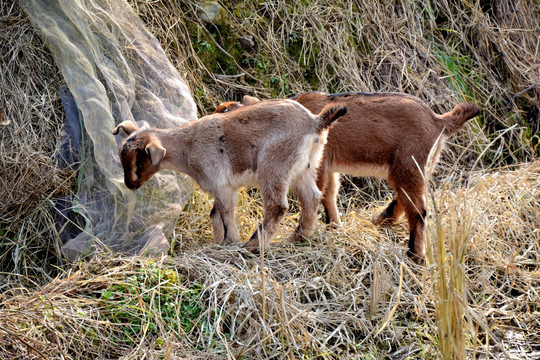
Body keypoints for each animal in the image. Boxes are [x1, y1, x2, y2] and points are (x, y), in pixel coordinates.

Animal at [112, 98, 346, 250]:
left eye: (139, 163)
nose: (130, 184)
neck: (189, 145)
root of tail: (315, 121)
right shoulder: (219, 187)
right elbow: (215, 214)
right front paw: (219, 243)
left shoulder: (221, 183)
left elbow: (226, 212)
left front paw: (230, 242)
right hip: (305, 168)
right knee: (312, 198)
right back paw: (298, 238)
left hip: (274, 166)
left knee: (277, 206)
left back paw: (253, 244)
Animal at [213, 93, 478, 262]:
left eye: (226, 112)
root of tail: (438, 120)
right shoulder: (329, 166)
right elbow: (329, 193)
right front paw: (335, 227)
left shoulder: (319, 165)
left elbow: (319, 194)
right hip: (418, 167)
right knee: (407, 200)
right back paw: (381, 219)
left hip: (407, 166)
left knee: (418, 210)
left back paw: (414, 254)